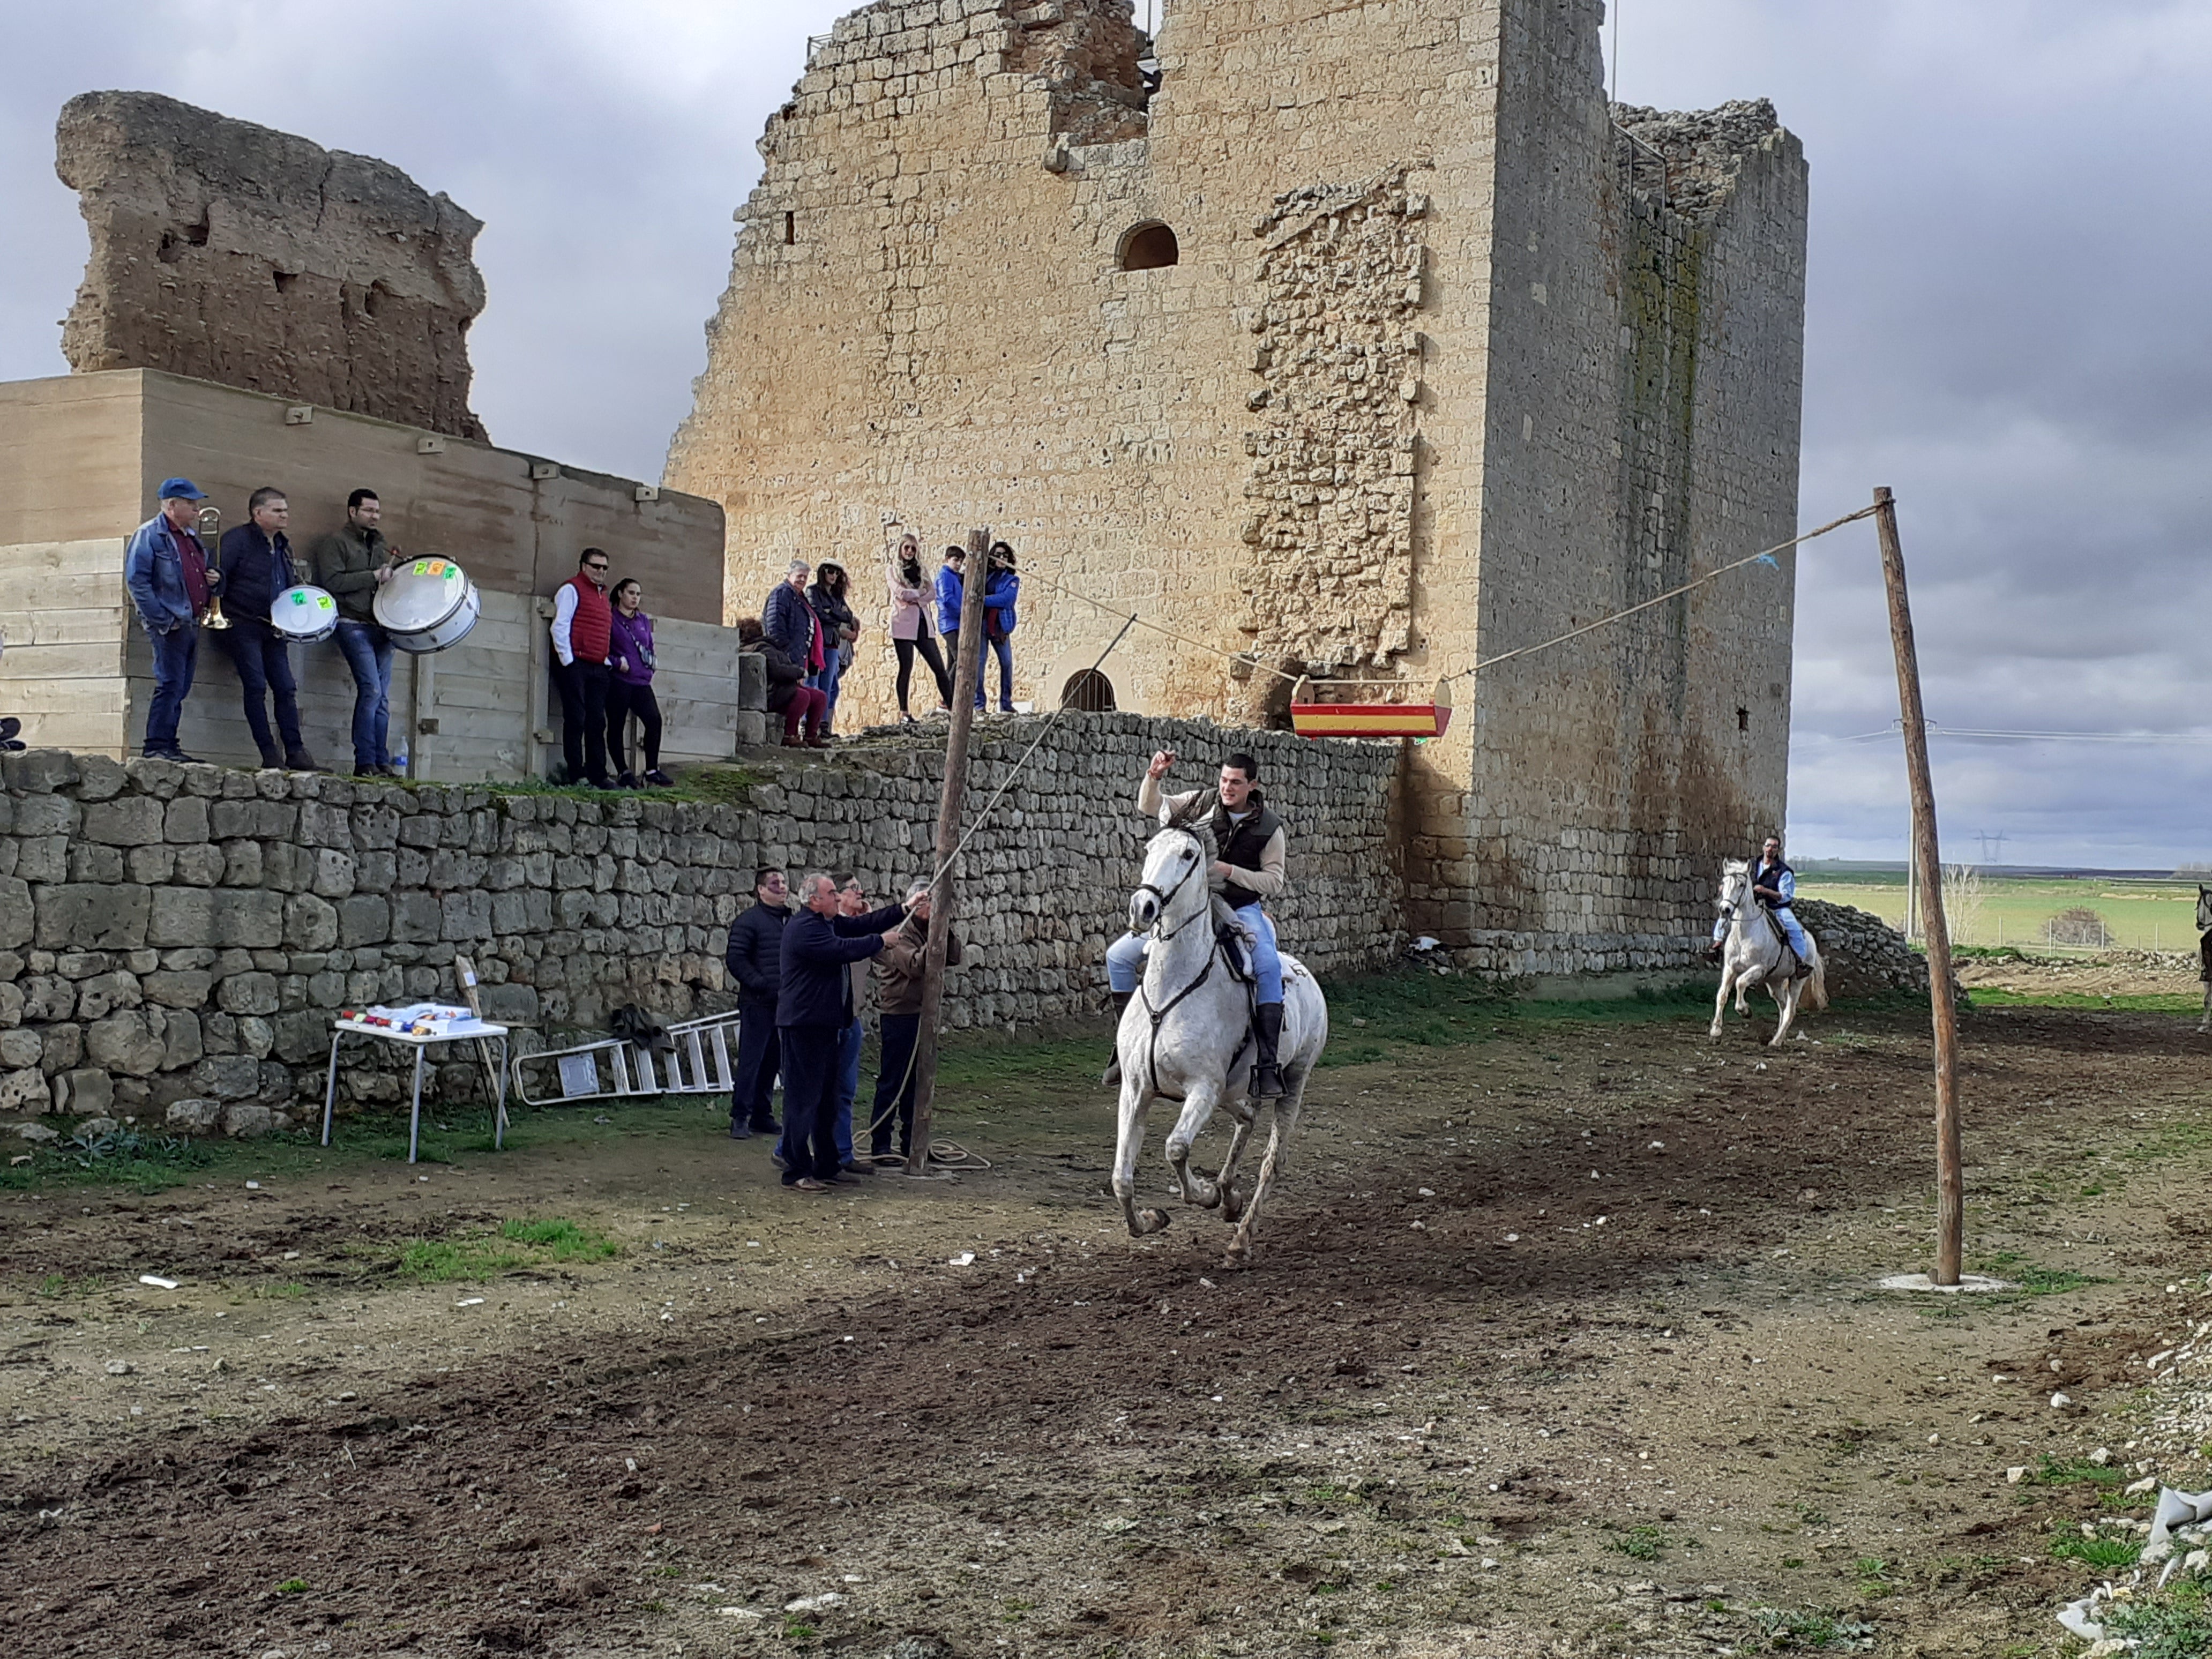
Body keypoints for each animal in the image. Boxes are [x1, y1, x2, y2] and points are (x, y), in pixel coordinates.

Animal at [1108, 806, 1329, 1263]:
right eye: (1150, 848)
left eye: (1189, 854)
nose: (1143, 907)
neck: (1172, 989)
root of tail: (1305, 974)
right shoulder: (1136, 1090)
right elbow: (1122, 1177)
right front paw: (1150, 1221)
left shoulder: (1203, 1089)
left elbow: (1176, 1148)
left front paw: (1204, 1195)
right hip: (1233, 1090)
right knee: (1247, 1117)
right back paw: (1230, 1197)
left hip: (1293, 1080)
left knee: (1272, 1161)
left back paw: (1241, 1236)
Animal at [1709, 857, 1827, 1046]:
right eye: (1724, 883)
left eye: (1741, 884)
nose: (1725, 910)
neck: (1745, 934)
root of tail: (1811, 941)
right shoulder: (1730, 968)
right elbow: (1722, 995)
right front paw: (1715, 1032)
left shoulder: (1758, 969)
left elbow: (1740, 983)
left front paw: (1745, 1010)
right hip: (1775, 982)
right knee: (1783, 1006)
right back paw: (1780, 1036)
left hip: (1796, 981)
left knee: (1790, 1010)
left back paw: (1776, 1041)